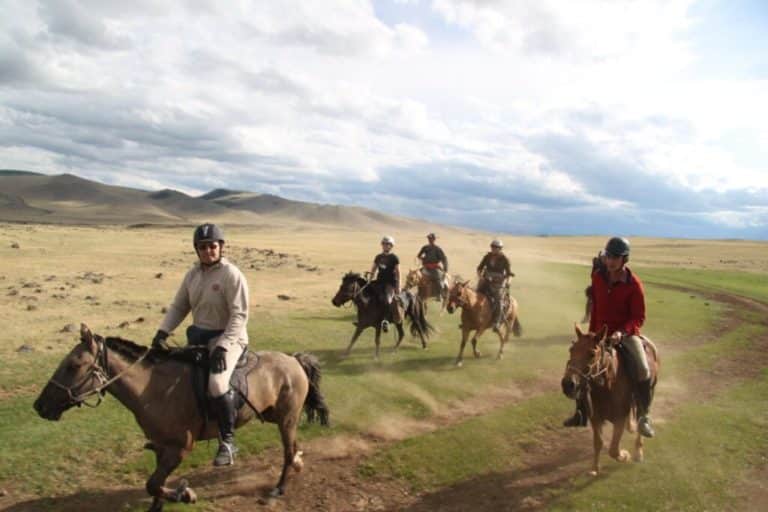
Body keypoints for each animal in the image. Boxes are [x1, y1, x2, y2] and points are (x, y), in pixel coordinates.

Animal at [34, 326, 328, 510]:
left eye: (73, 365)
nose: (40, 406)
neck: (154, 388)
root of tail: (293, 360)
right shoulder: (160, 446)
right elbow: (155, 485)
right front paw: (165, 502)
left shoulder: (180, 448)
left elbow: (153, 484)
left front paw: (185, 494)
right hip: (278, 417)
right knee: (294, 448)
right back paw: (298, 465)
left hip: (286, 419)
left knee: (287, 451)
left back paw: (278, 488)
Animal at [560, 326, 660, 474]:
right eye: (571, 350)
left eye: (592, 354)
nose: (568, 384)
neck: (608, 385)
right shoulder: (595, 417)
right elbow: (598, 442)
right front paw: (594, 468)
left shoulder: (619, 418)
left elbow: (613, 449)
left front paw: (625, 455)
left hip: (649, 390)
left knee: (642, 416)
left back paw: (638, 451)